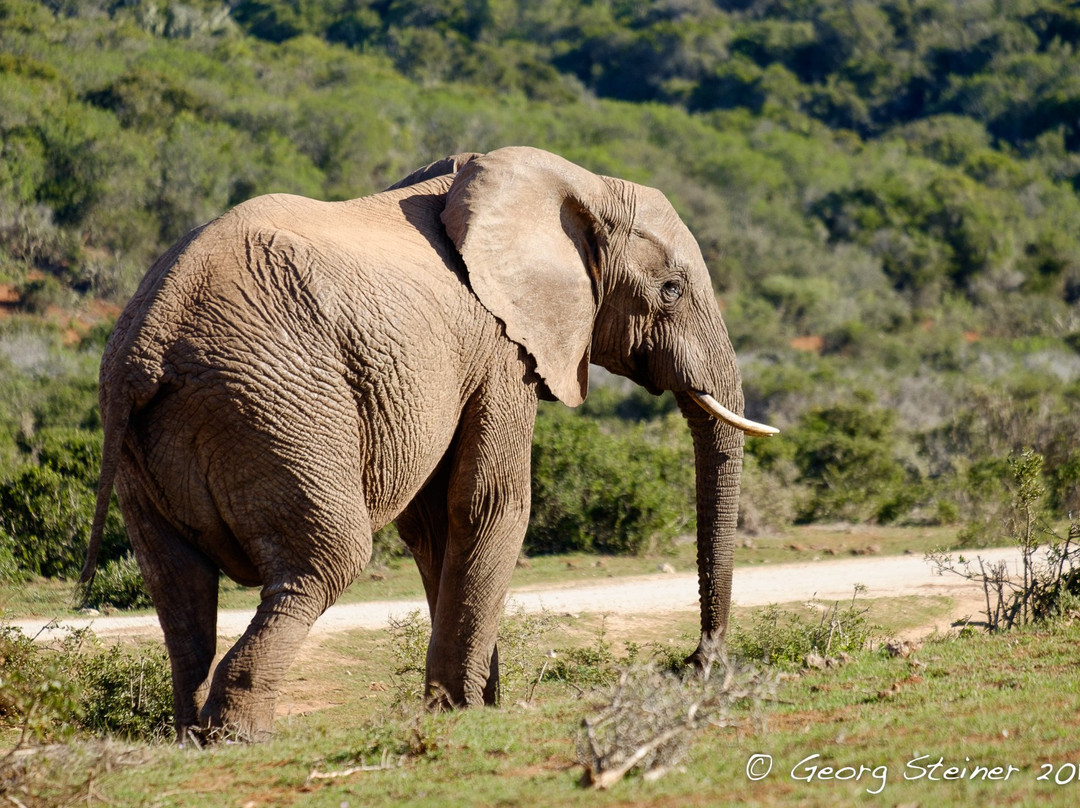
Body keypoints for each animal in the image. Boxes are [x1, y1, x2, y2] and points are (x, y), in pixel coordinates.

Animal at [82, 146, 777, 743]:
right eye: (671, 290)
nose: (697, 663)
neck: (573, 183)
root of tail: (148, 338)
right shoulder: (500, 348)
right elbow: (491, 504)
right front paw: (466, 711)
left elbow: (436, 525)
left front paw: (464, 705)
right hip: (274, 403)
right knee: (327, 559)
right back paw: (238, 738)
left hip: (157, 442)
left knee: (178, 586)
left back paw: (190, 736)